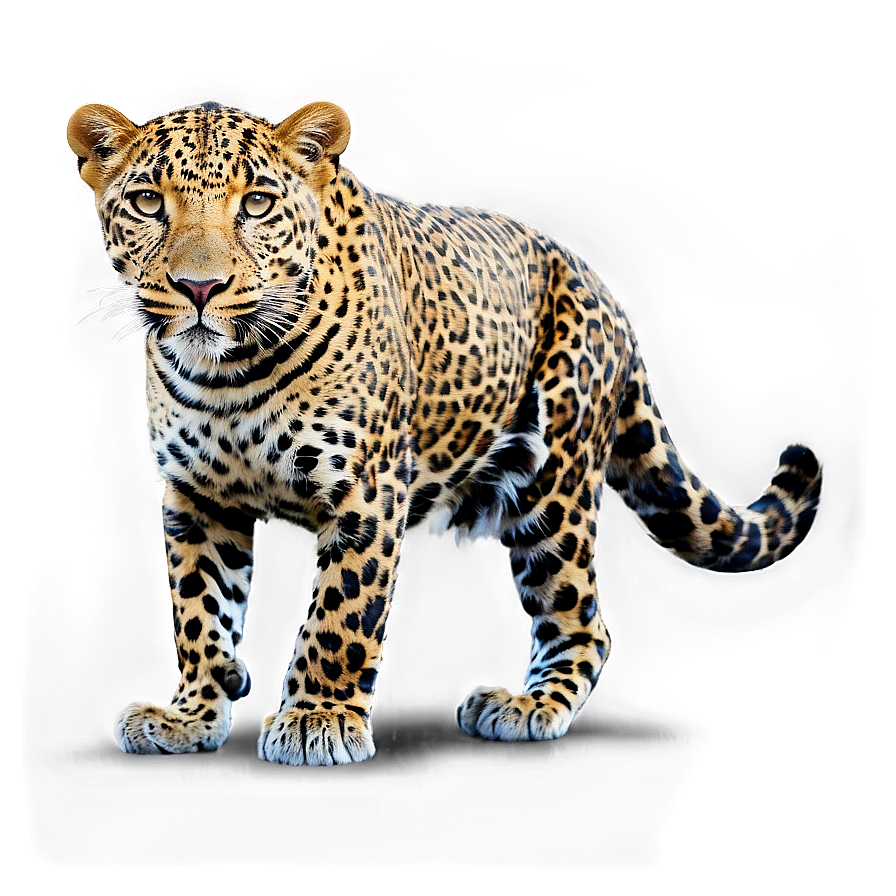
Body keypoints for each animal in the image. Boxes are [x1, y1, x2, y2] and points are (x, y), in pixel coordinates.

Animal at [68, 100, 821, 765]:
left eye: (255, 204)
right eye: (147, 203)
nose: (200, 289)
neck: (226, 376)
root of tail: (604, 290)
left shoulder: (366, 488)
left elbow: (343, 611)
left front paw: (317, 719)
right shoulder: (198, 500)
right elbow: (200, 609)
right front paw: (192, 714)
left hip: (552, 483)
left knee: (583, 619)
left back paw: (529, 705)